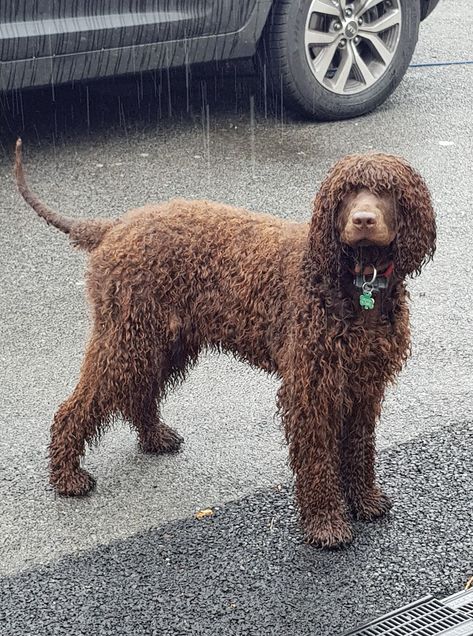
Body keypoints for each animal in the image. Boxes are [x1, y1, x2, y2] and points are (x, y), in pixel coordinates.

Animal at [14, 139, 436, 548]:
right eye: (346, 192)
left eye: (388, 191)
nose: (363, 220)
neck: (355, 280)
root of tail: (114, 226)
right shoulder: (311, 387)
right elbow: (317, 457)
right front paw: (326, 523)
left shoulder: (365, 384)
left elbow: (360, 447)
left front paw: (364, 500)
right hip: (126, 339)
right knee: (77, 407)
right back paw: (67, 476)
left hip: (162, 341)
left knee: (139, 392)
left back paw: (154, 437)